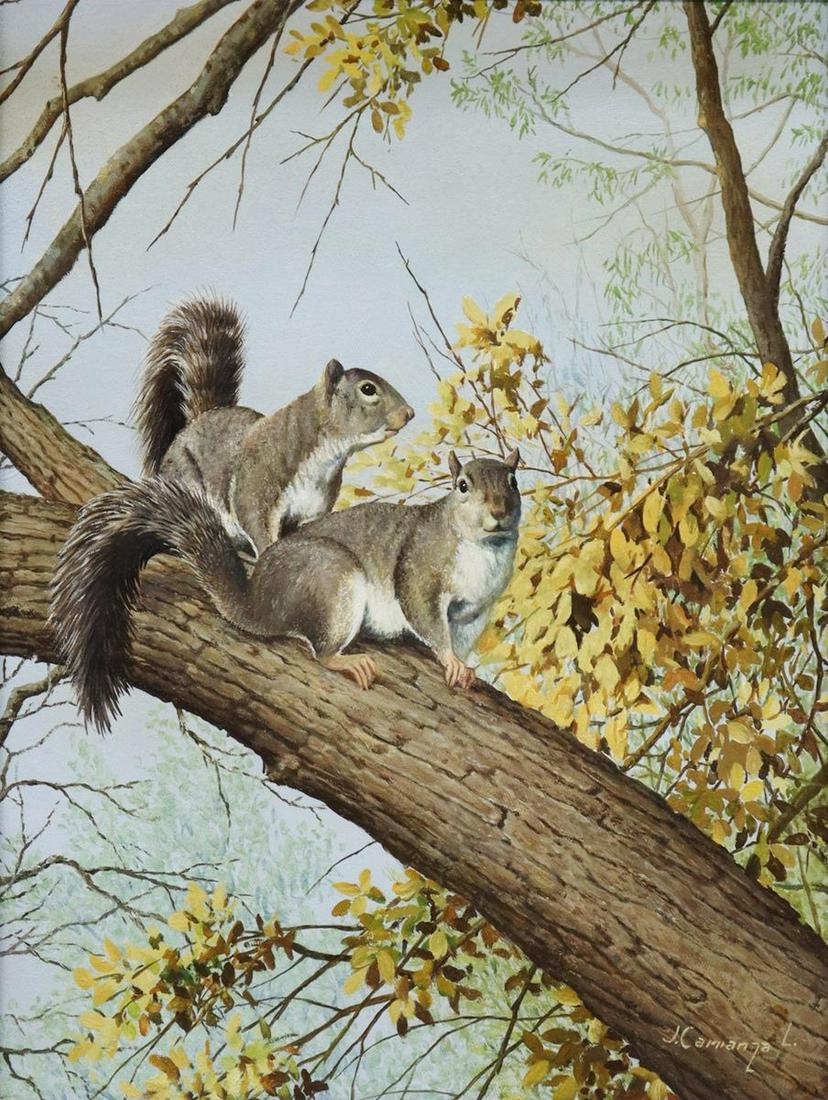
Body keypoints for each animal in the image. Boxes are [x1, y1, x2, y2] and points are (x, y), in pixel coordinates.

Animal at [50, 449, 521, 732]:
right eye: (463, 486)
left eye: (512, 481)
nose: (499, 511)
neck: (485, 550)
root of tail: (255, 601)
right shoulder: (419, 572)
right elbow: (424, 614)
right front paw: (449, 660)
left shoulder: (477, 607)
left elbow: (462, 636)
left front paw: (464, 667)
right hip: (334, 581)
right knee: (319, 650)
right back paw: (345, 661)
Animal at [134, 294, 414, 554]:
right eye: (368, 389)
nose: (409, 413)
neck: (325, 459)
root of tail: (197, 420)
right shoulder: (255, 491)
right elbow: (258, 527)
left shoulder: (314, 508)